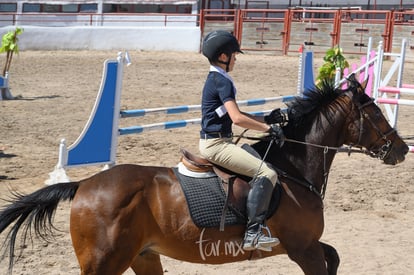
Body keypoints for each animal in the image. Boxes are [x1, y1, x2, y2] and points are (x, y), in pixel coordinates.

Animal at [0, 75, 408, 275]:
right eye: (376, 113)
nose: (402, 150)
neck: (294, 170)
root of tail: (83, 184)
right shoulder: (302, 247)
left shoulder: (303, 244)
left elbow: (335, 256)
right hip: (104, 263)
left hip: (143, 257)